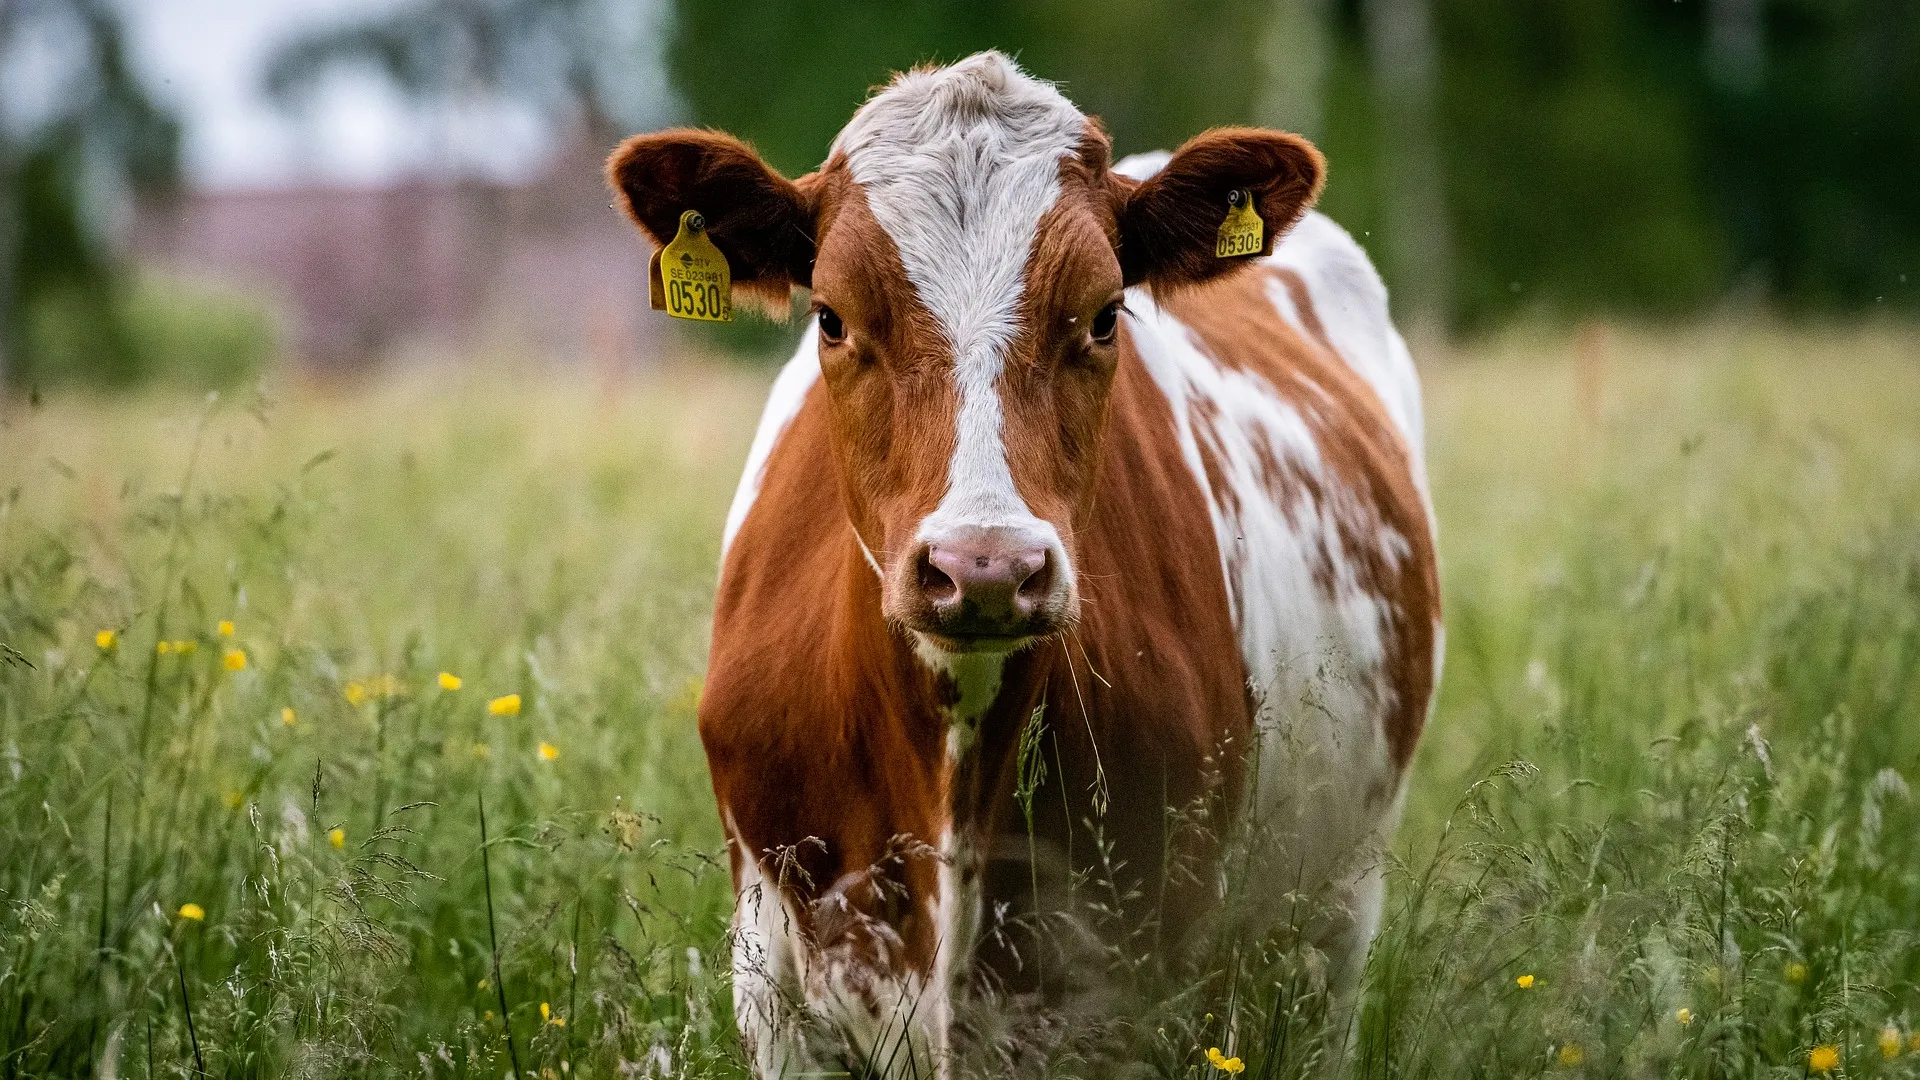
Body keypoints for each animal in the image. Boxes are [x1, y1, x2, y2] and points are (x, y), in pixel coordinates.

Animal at [608, 51, 1441, 1079]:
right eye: (832, 319)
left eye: (1105, 315)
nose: (986, 567)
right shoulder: (777, 993)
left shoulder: (1140, 997)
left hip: (1332, 923)